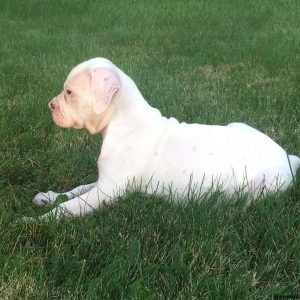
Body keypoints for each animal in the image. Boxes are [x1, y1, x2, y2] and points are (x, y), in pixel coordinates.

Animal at [33, 58, 300, 218]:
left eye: (69, 92)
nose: (50, 106)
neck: (124, 120)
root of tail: (288, 156)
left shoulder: (107, 191)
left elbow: (69, 207)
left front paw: (37, 221)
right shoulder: (102, 183)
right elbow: (76, 190)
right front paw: (49, 197)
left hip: (265, 185)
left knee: (248, 204)